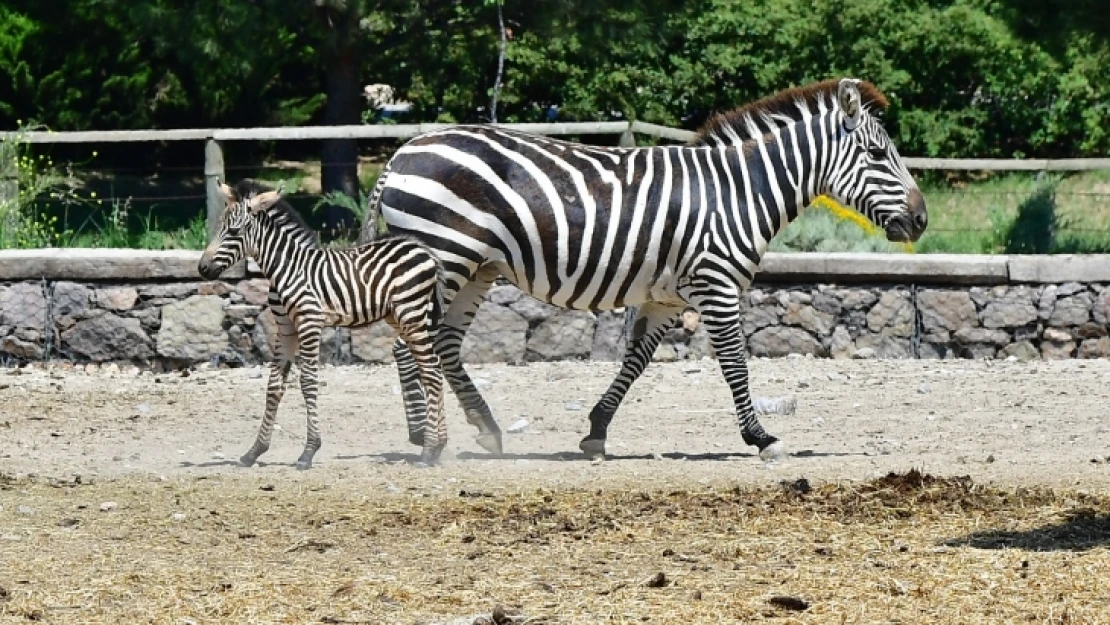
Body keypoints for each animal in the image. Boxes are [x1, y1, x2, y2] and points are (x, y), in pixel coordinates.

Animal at [197, 179, 448, 470]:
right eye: (219, 227)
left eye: (234, 230)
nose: (202, 269)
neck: (288, 268)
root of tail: (423, 249)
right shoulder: (285, 328)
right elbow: (274, 385)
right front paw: (255, 450)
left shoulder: (309, 322)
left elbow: (308, 382)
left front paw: (309, 451)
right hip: (400, 318)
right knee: (434, 367)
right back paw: (439, 445)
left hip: (411, 314)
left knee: (430, 370)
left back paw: (428, 451)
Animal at [359, 78, 923, 461]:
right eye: (877, 154)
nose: (921, 220)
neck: (739, 192)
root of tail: (402, 151)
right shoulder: (716, 284)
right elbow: (735, 362)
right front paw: (760, 437)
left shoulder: (666, 295)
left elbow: (636, 361)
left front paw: (596, 430)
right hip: (445, 254)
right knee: (410, 344)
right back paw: (425, 439)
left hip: (477, 267)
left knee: (443, 343)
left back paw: (484, 429)